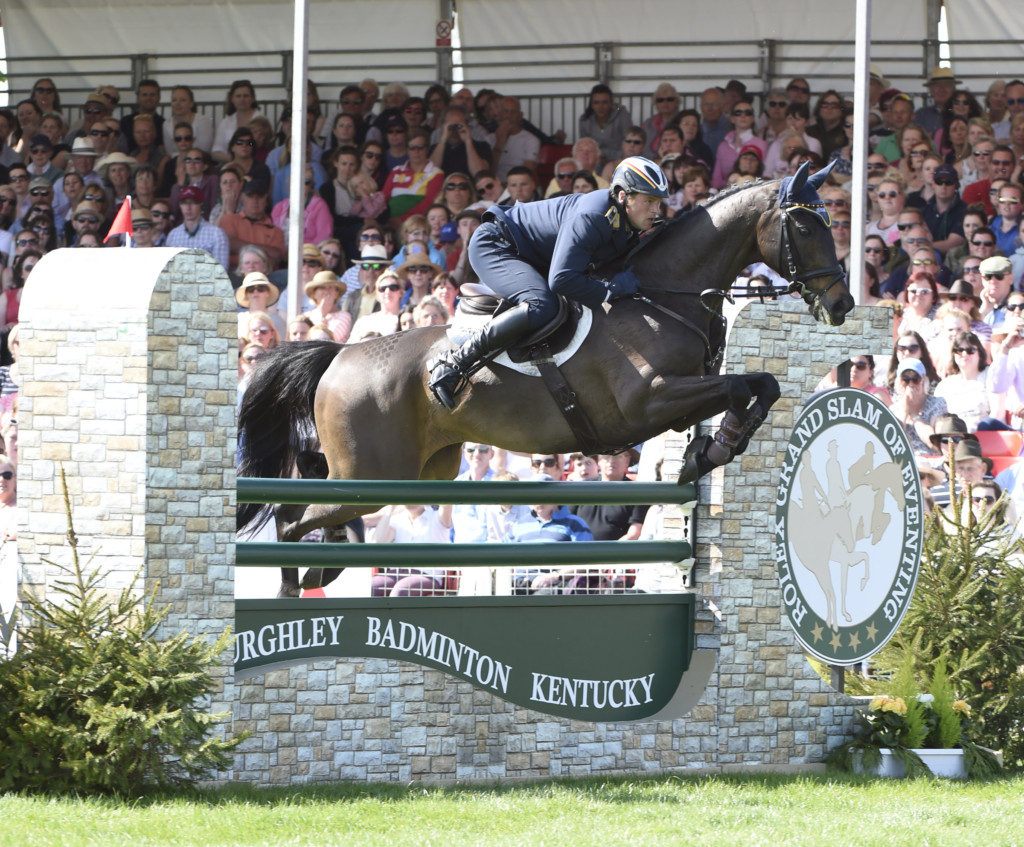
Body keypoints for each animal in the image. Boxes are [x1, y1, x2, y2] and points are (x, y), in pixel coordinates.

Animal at [235, 160, 851, 598]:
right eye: (804, 223)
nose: (842, 303)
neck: (662, 295)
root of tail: (340, 357)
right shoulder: (650, 402)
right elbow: (743, 385)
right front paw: (712, 451)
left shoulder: (675, 402)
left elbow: (762, 385)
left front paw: (713, 449)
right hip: (375, 473)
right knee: (291, 518)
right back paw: (297, 586)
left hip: (422, 470)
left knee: (311, 504)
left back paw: (321, 571)